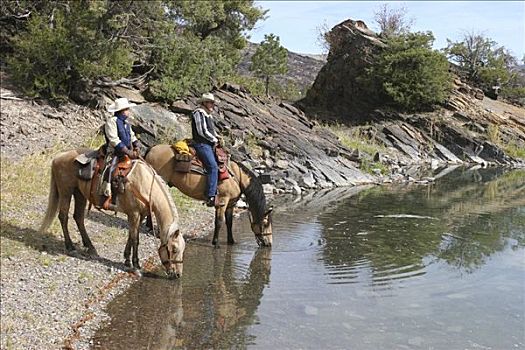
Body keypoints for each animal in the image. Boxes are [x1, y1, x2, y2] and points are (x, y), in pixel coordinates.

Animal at [38, 149, 184, 278]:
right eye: (174, 249)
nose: (177, 274)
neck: (145, 184)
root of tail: (58, 157)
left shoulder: (139, 215)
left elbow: (131, 236)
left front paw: (127, 260)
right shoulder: (134, 214)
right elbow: (135, 239)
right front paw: (136, 266)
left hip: (79, 193)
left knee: (78, 217)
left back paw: (90, 247)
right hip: (66, 191)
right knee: (63, 216)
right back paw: (71, 247)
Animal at [144, 144, 272, 247]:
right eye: (265, 223)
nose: (269, 243)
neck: (236, 177)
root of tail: (151, 149)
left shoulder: (230, 204)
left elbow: (229, 222)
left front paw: (231, 241)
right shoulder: (222, 201)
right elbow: (219, 222)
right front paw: (216, 243)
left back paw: (149, 227)